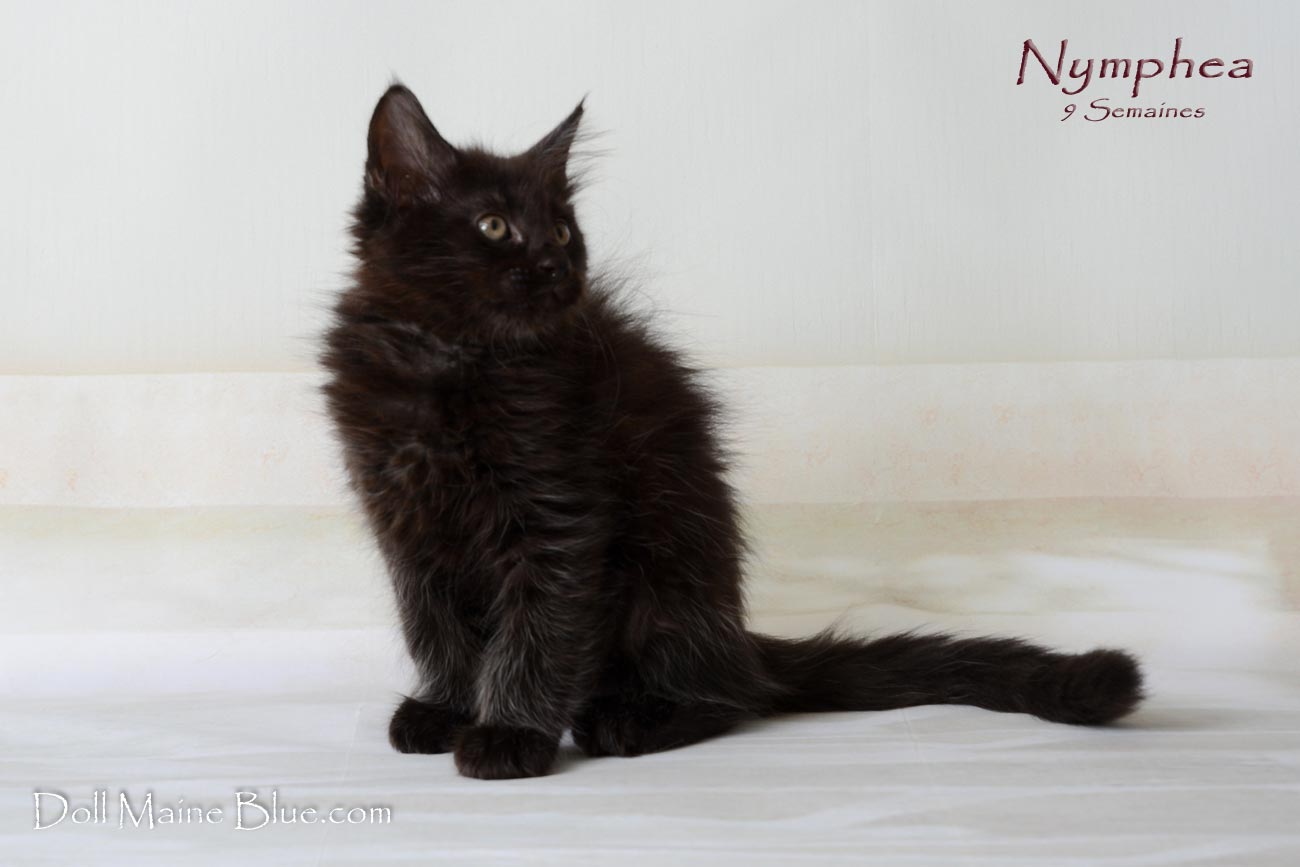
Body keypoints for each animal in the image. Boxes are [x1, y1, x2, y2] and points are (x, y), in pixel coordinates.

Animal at [321, 84, 1144, 780]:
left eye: (560, 228)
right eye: (493, 226)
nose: (557, 264)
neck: (446, 361)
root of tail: (735, 635)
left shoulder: (555, 511)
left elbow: (536, 629)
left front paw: (509, 732)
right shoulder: (407, 527)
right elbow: (436, 627)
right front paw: (450, 709)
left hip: (664, 572)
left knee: (730, 697)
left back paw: (632, 718)